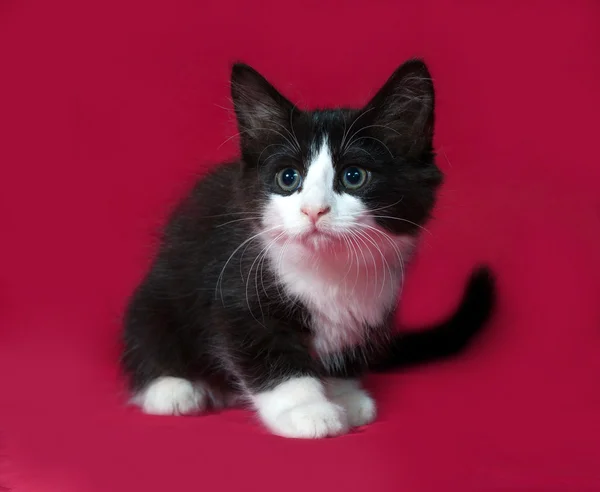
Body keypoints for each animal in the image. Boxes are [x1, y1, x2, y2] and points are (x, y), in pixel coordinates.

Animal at [120, 59, 492, 440]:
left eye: (354, 176)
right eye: (288, 178)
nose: (314, 210)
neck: (327, 269)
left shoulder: (369, 306)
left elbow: (342, 353)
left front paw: (344, 396)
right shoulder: (237, 289)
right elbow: (271, 355)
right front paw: (307, 410)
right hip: (158, 296)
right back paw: (172, 388)